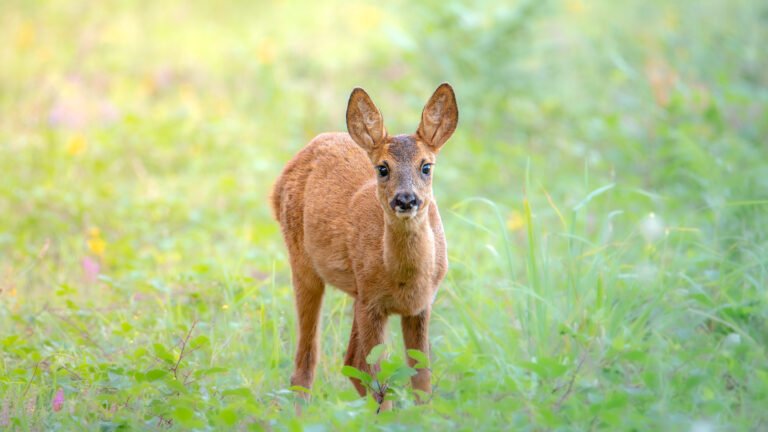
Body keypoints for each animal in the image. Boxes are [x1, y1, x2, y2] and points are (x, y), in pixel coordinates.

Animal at [271, 83, 458, 411]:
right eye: (382, 168)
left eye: (426, 166)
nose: (406, 199)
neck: (404, 280)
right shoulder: (373, 304)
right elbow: (379, 374)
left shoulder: (420, 305)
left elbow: (421, 376)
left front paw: (423, 415)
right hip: (304, 264)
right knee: (308, 361)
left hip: (357, 293)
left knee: (350, 362)